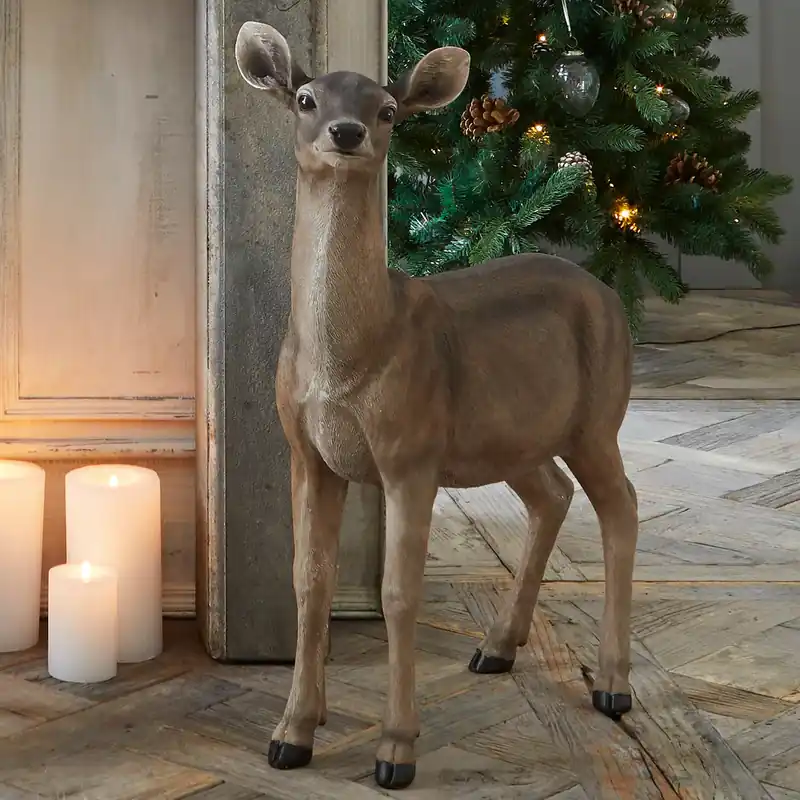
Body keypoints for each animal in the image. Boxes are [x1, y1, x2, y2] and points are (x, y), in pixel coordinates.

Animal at [235, 21, 639, 791]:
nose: (347, 131)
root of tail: (609, 294)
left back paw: (613, 684)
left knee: (622, 508)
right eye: (304, 97)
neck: (355, 355)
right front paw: (292, 732)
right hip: (513, 435)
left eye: (389, 109)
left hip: (598, 417)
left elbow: (399, 594)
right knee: (553, 495)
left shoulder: (409, 452)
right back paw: (497, 648)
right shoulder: (307, 452)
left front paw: (396, 750)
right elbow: (308, 583)